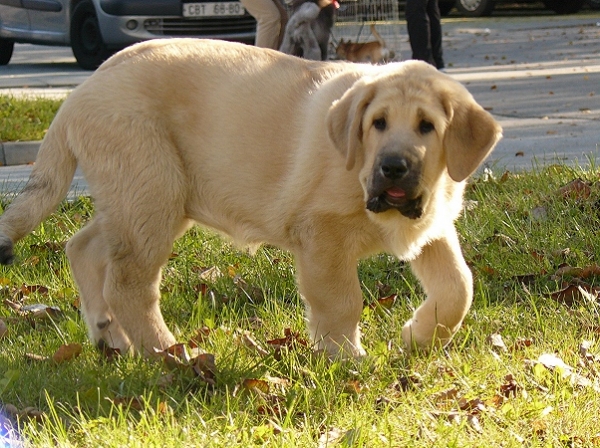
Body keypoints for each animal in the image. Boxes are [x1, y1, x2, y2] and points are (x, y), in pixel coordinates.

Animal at [0, 40, 502, 358]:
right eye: (377, 123)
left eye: (427, 126)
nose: (394, 167)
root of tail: (78, 92)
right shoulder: (322, 236)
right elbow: (342, 301)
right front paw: (345, 358)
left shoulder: (432, 228)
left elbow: (458, 287)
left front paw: (417, 340)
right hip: (150, 196)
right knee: (129, 285)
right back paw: (171, 354)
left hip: (141, 197)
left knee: (84, 247)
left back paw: (110, 337)